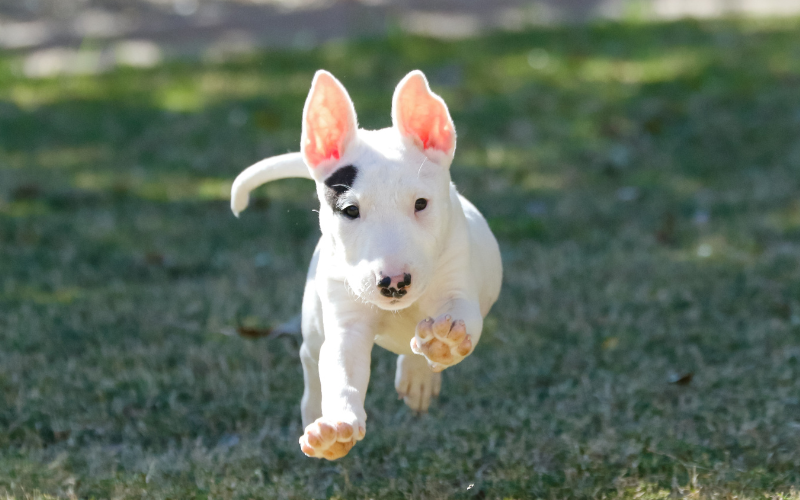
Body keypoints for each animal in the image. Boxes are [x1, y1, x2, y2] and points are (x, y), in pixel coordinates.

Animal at [230, 70, 500, 460]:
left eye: (421, 204)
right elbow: (341, 367)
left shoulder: (456, 282)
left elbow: (461, 316)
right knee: (311, 355)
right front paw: (335, 428)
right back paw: (314, 409)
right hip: (315, 314)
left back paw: (420, 373)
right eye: (350, 210)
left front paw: (444, 342)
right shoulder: (347, 322)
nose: (394, 282)